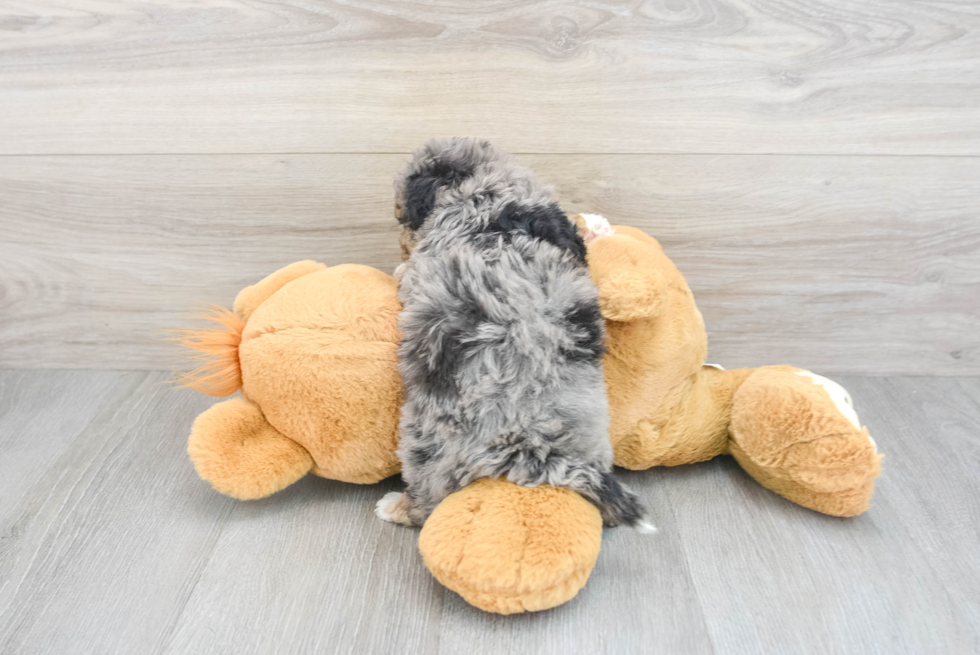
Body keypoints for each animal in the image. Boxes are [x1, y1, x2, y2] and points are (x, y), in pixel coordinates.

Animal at [378, 138, 656, 532]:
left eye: (401, 215)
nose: (402, 242)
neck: (488, 183)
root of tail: (533, 443)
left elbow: (407, 276)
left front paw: (399, 267)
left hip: (428, 443)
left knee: (427, 496)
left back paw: (396, 506)